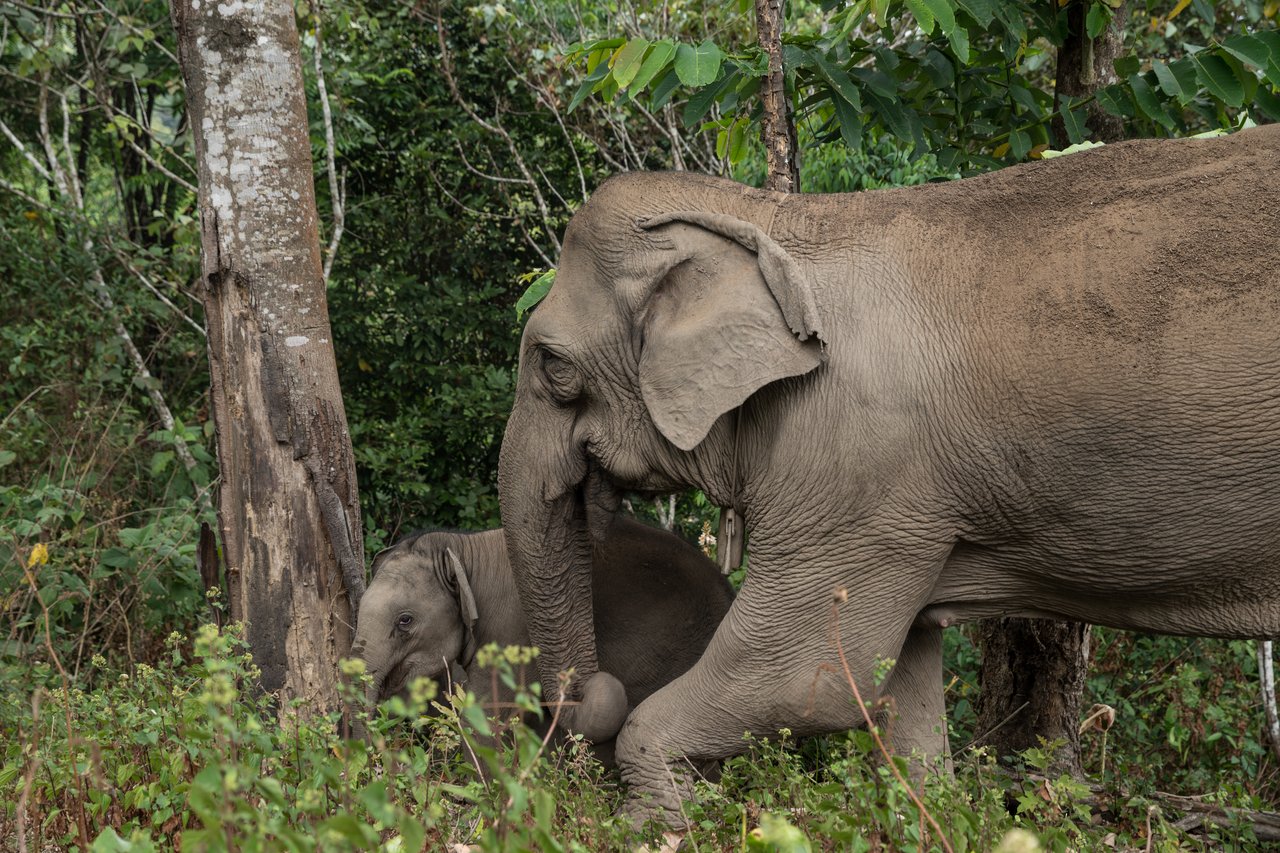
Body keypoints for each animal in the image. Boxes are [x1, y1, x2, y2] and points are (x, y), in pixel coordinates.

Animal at [496, 126, 1280, 824]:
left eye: (552, 366)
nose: (595, 690)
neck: (772, 217)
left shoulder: (854, 466)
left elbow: (803, 675)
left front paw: (649, 827)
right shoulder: (896, 506)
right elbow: (898, 684)